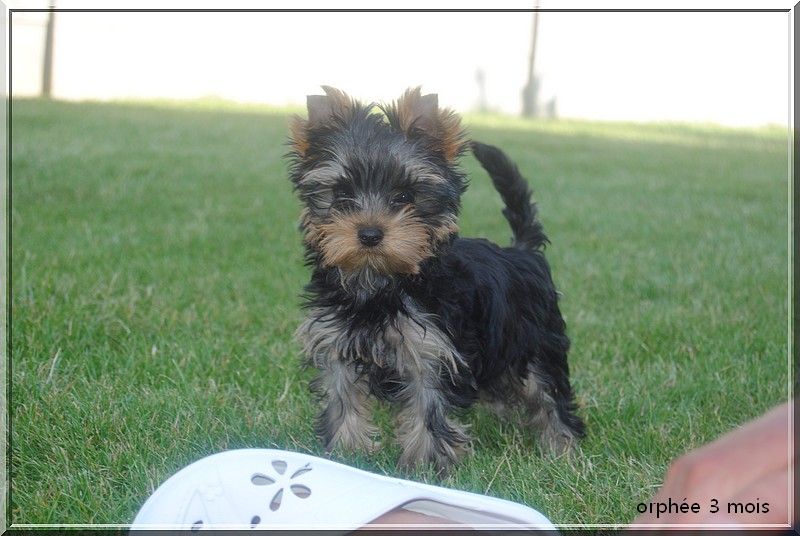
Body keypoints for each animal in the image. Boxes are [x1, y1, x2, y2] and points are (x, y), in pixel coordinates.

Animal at [286, 86, 580, 472]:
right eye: (342, 195)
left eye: (405, 196)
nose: (369, 234)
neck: (381, 282)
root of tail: (522, 252)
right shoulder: (336, 343)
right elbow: (342, 398)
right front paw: (346, 452)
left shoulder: (432, 351)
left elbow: (428, 406)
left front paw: (425, 465)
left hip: (536, 340)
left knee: (548, 391)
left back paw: (563, 448)